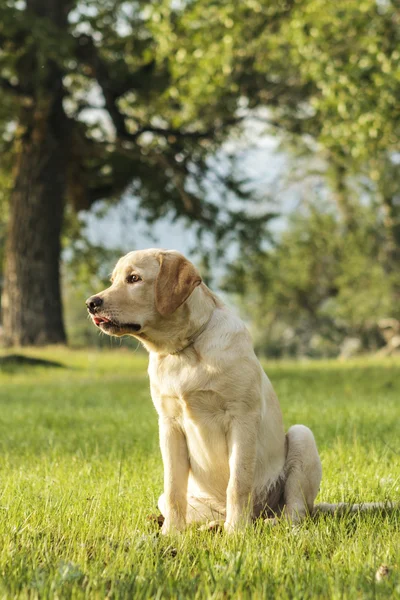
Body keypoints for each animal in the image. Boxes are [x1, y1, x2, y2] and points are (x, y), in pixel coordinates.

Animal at [85, 248, 394, 536]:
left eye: (134, 278)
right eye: (113, 280)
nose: (91, 303)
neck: (185, 350)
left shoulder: (242, 418)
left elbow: (238, 483)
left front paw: (236, 533)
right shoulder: (169, 425)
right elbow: (173, 489)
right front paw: (171, 534)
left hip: (301, 438)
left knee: (294, 514)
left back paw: (262, 524)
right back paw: (209, 526)